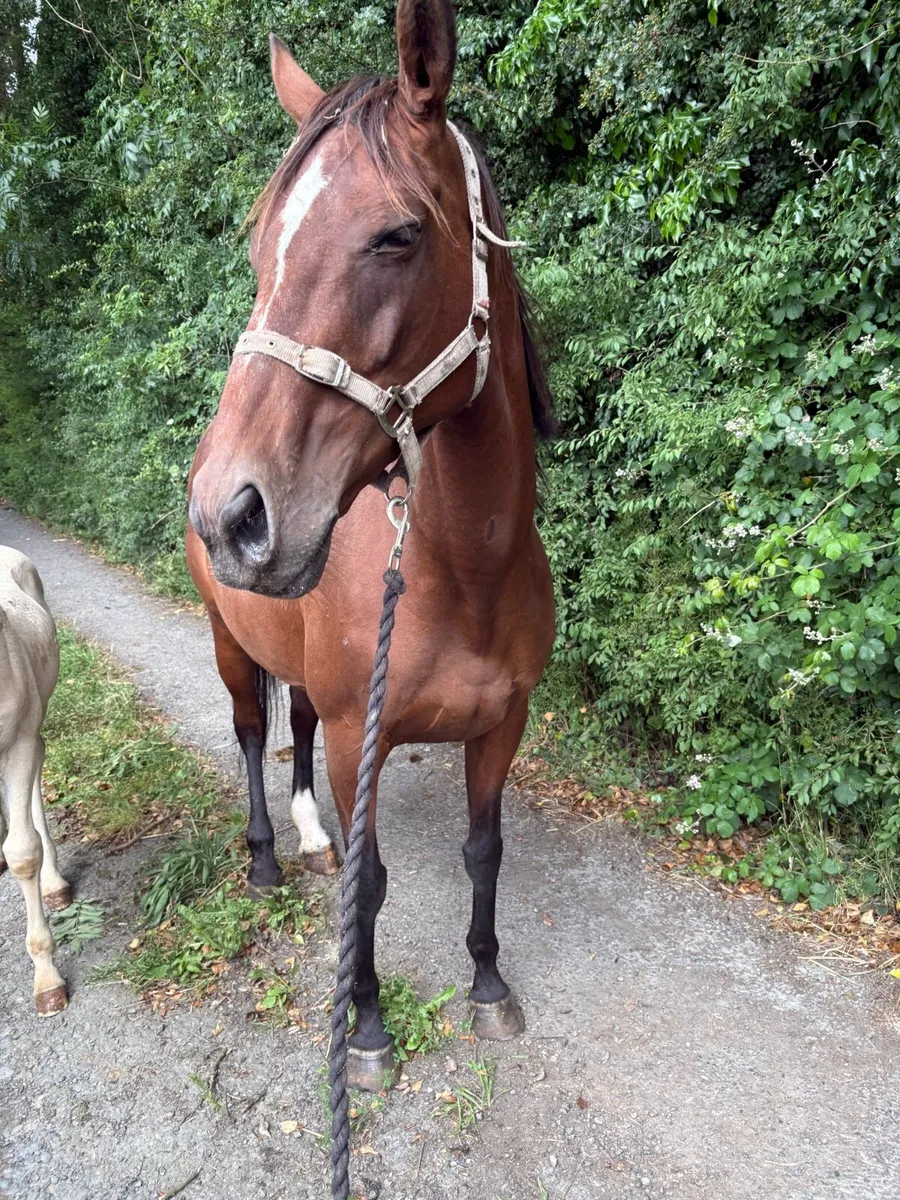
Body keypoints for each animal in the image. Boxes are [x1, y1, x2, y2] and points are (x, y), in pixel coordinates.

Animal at [186, 0, 555, 1088]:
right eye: (261, 252)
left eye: (396, 234)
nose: (234, 513)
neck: (464, 569)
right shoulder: (367, 738)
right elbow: (373, 881)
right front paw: (367, 1028)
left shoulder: (500, 727)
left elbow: (485, 851)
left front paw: (488, 984)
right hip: (230, 645)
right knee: (254, 732)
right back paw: (268, 857)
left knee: (296, 724)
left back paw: (307, 832)